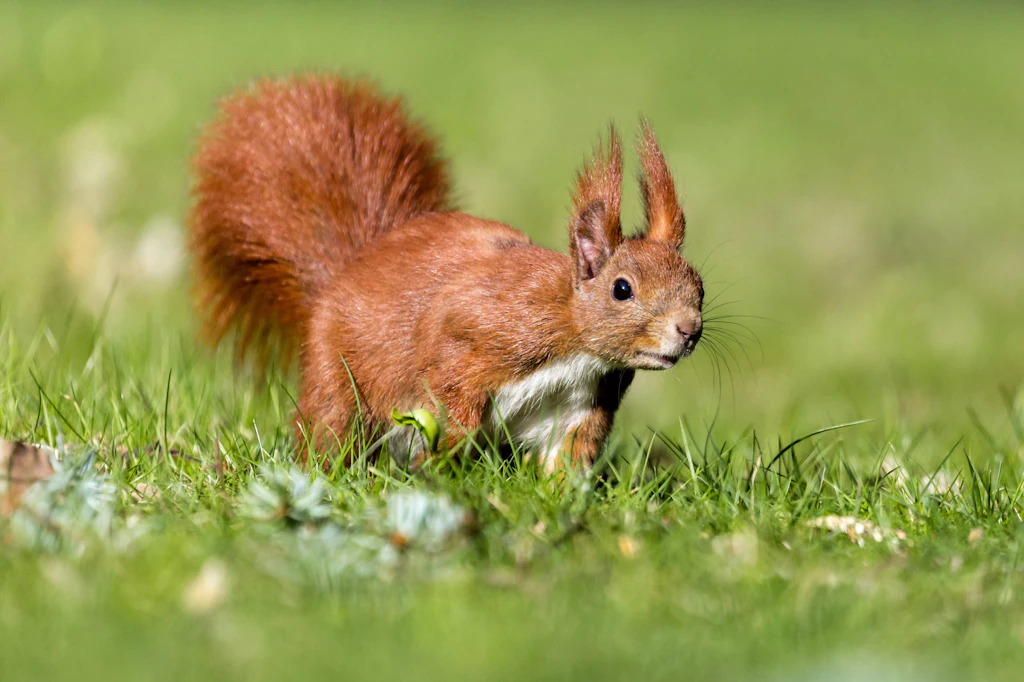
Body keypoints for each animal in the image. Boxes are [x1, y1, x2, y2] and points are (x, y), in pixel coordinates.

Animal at [187, 74, 703, 470]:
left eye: (698, 285)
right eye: (622, 289)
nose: (689, 330)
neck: (572, 340)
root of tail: (344, 273)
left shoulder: (582, 403)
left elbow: (568, 457)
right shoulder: (480, 329)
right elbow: (451, 384)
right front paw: (442, 452)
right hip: (335, 376)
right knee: (330, 428)